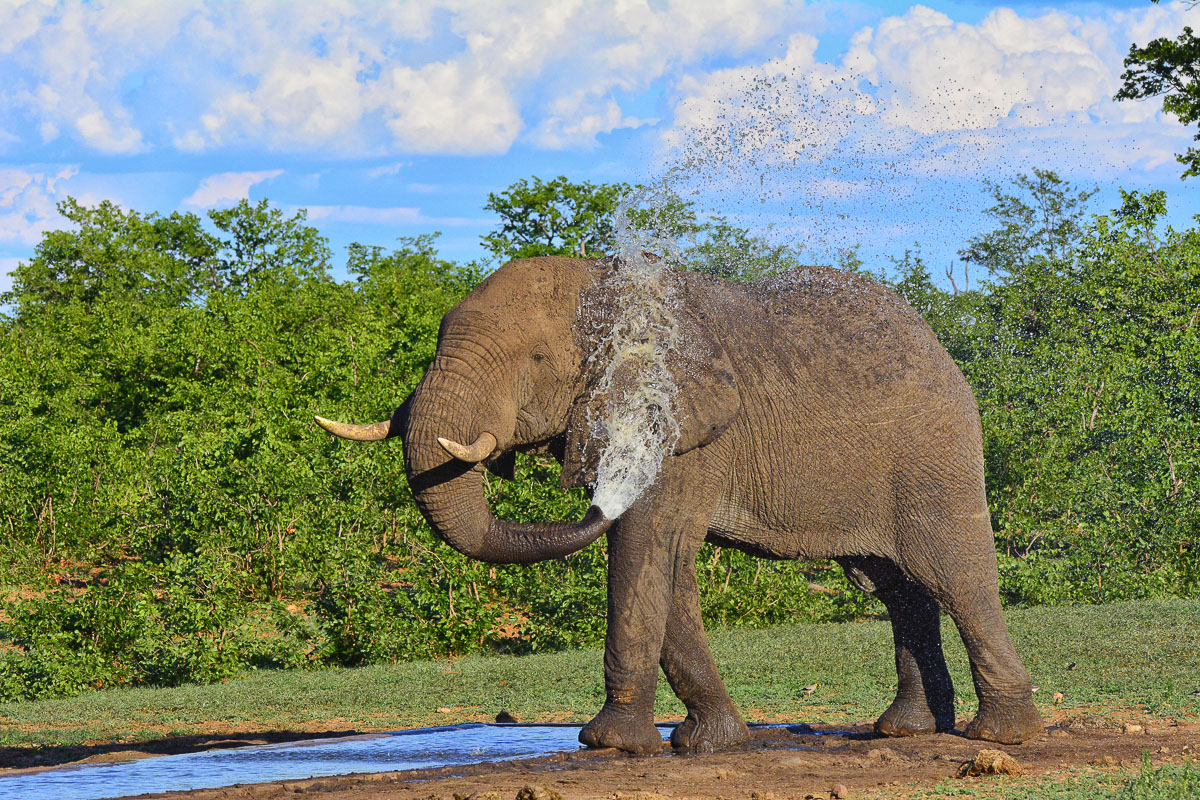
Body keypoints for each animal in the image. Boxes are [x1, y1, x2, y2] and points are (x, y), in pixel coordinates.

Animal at [315, 255, 1044, 753]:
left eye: (536, 358)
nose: (593, 501)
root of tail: (940, 347)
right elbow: (666, 570)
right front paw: (709, 743)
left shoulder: (672, 425)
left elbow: (645, 548)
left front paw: (609, 745)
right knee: (896, 587)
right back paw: (904, 731)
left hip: (934, 452)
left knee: (951, 573)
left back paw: (1000, 737)